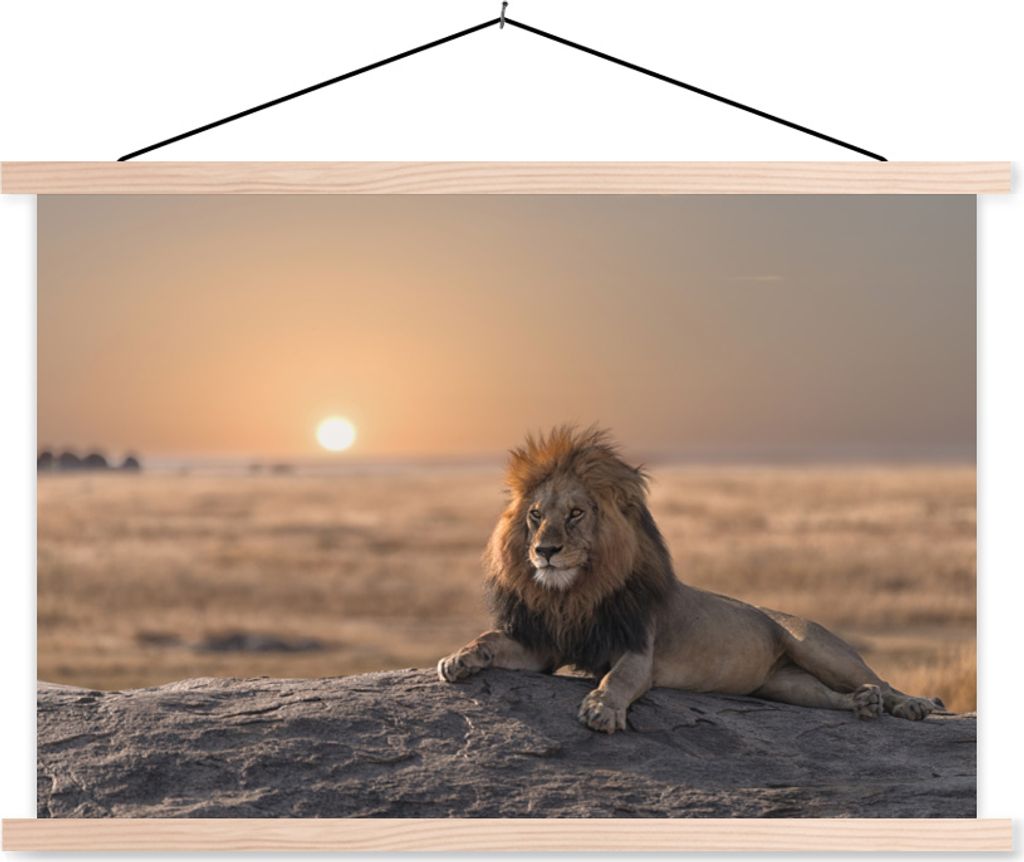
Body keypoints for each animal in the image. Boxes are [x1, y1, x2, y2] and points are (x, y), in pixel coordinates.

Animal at [438, 426, 942, 733]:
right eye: (537, 516)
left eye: (577, 514)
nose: (545, 551)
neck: (575, 593)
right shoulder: (544, 645)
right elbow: (491, 639)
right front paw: (459, 658)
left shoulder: (637, 649)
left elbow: (618, 679)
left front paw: (601, 708)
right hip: (782, 685)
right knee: (830, 696)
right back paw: (861, 705)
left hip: (817, 646)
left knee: (879, 680)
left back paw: (910, 704)